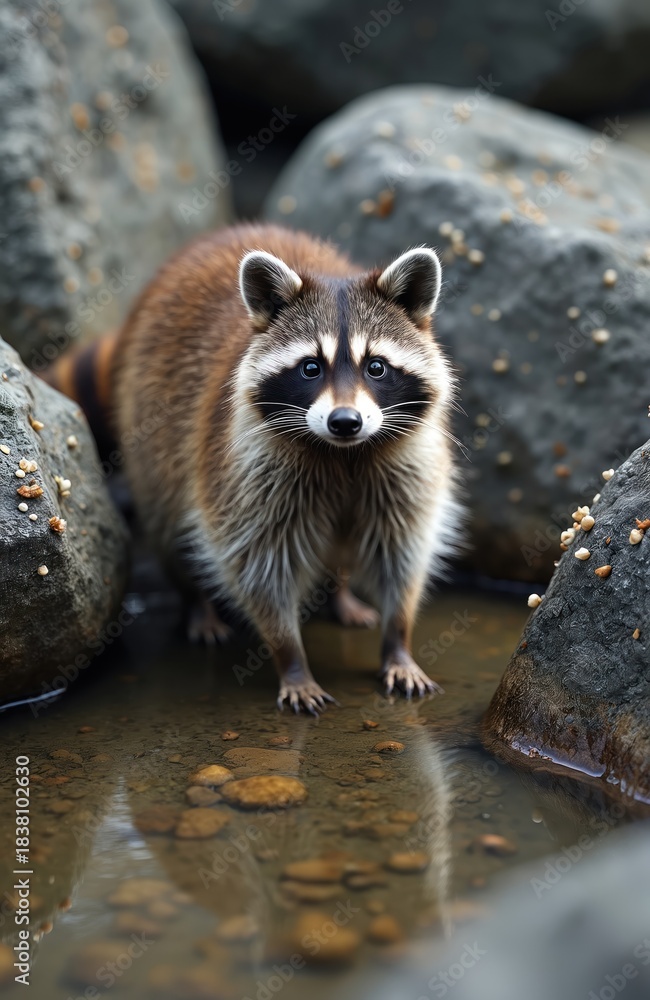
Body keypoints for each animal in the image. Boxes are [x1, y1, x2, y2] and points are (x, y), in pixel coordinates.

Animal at [49, 224, 462, 713]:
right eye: (310, 368)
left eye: (376, 367)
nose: (345, 421)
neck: (342, 455)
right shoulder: (243, 470)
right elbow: (259, 564)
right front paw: (291, 656)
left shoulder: (407, 467)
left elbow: (402, 550)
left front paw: (398, 639)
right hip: (152, 439)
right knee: (170, 527)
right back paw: (197, 603)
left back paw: (340, 593)